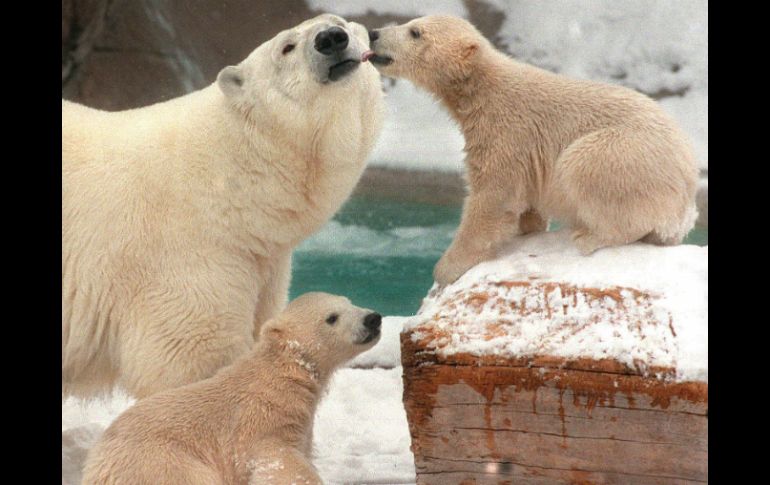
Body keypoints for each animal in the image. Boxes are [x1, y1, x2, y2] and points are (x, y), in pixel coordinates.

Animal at [61, 14, 382, 398]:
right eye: (287, 47)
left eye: (340, 23)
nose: (332, 39)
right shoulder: (188, 253)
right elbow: (196, 360)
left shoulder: (262, 263)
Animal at [82, 292, 380, 484]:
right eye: (332, 317)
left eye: (350, 302)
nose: (373, 318)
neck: (283, 374)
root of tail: (96, 466)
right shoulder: (261, 419)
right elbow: (279, 461)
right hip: (159, 462)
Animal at [366, 17, 696, 286]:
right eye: (411, 23)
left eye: (415, 32)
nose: (373, 33)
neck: (480, 87)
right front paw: (530, 227)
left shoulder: (506, 132)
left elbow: (492, 199)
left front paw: (446, 269)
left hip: (628, 155)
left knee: (583, 164)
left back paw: (588, 236)